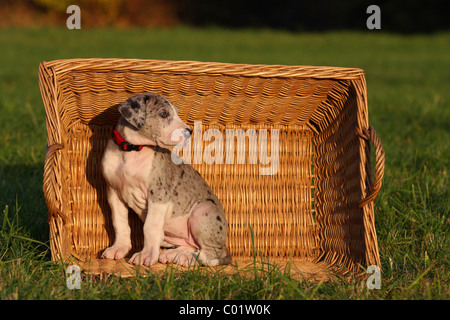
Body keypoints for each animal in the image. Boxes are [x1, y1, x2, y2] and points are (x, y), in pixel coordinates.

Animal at [100, 93, 230, 268]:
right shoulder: (114, 193)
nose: (189, 131)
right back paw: (173, 254)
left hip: (202, 210)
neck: (131, 151)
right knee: (191, 246)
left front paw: (146, 255)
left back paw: (187, 259)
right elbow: (119, 222)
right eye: (163, 114)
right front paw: (119, 247)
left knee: (213, 254)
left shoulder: (158, 194)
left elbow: (150, 227)